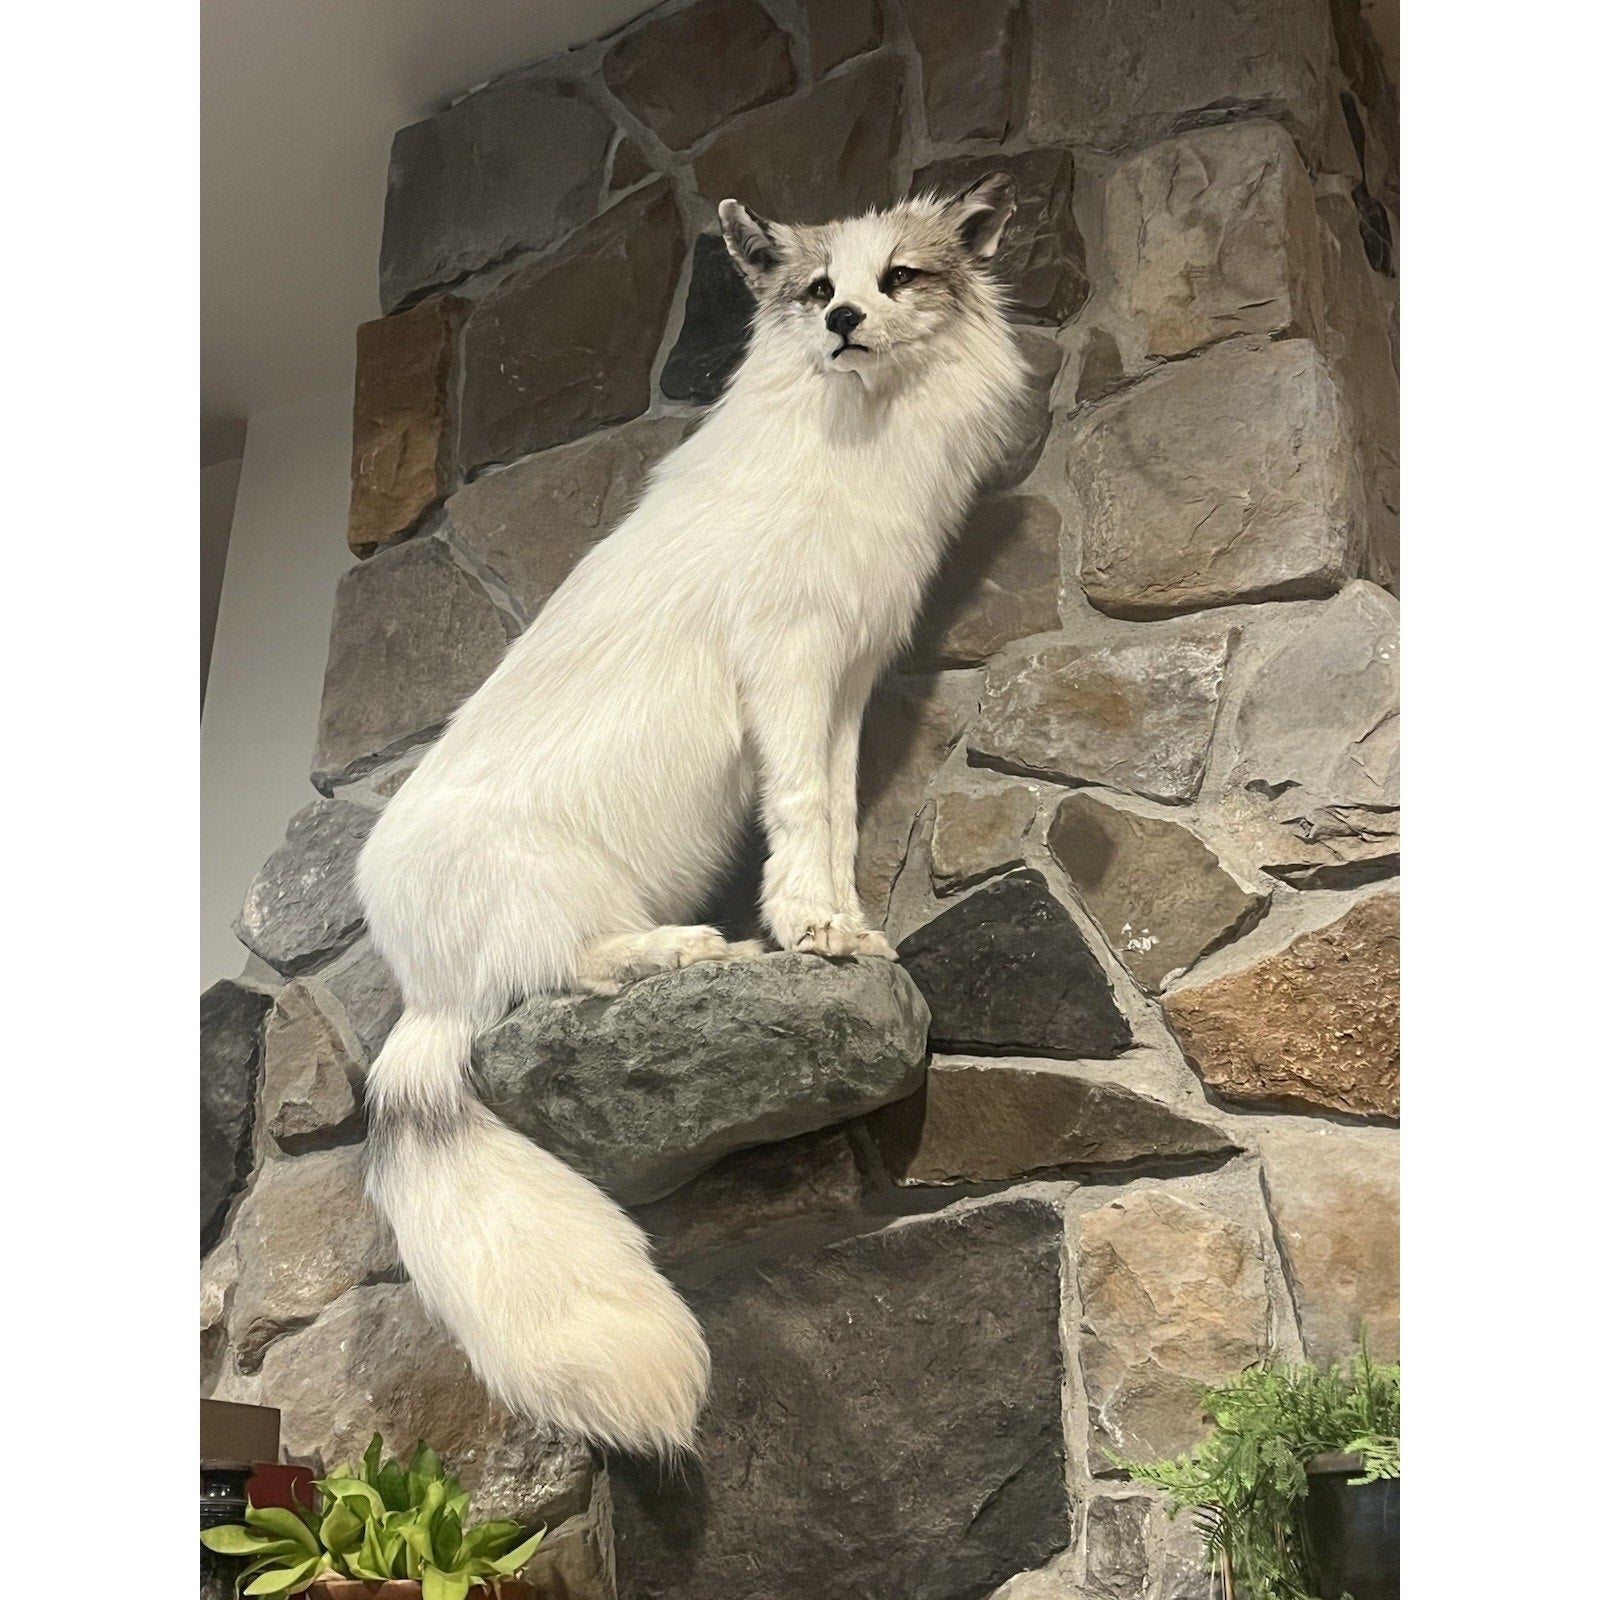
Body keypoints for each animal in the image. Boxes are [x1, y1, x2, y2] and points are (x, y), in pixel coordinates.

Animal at [356, 172, 1028, 1456]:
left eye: (898, 279)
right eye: (814, 291)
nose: (843, 323)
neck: (853, 447)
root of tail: (418, 981)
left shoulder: (848, 680)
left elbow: (839, 817)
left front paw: (843, 921)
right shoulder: (787, 661)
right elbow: (801, 807)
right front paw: (807, 930)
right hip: (547, 898)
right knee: (556, 975)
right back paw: (684, 950)